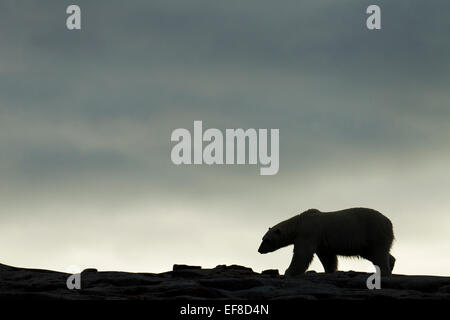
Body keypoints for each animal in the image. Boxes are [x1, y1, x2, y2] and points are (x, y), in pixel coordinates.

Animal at [258, 209, 396, 276]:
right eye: (262, 239)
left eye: (266, 240)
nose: (259, 250)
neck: (299, 223)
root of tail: (389, 222)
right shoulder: (321, 241)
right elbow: (327, 256)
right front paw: (330, 270)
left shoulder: (309, 232)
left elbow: (302, 253)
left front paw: (288, 272)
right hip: (366, 241)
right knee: (373, 253)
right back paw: (391, 262)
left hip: (373, 231)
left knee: (378, 253)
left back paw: (384, 271)